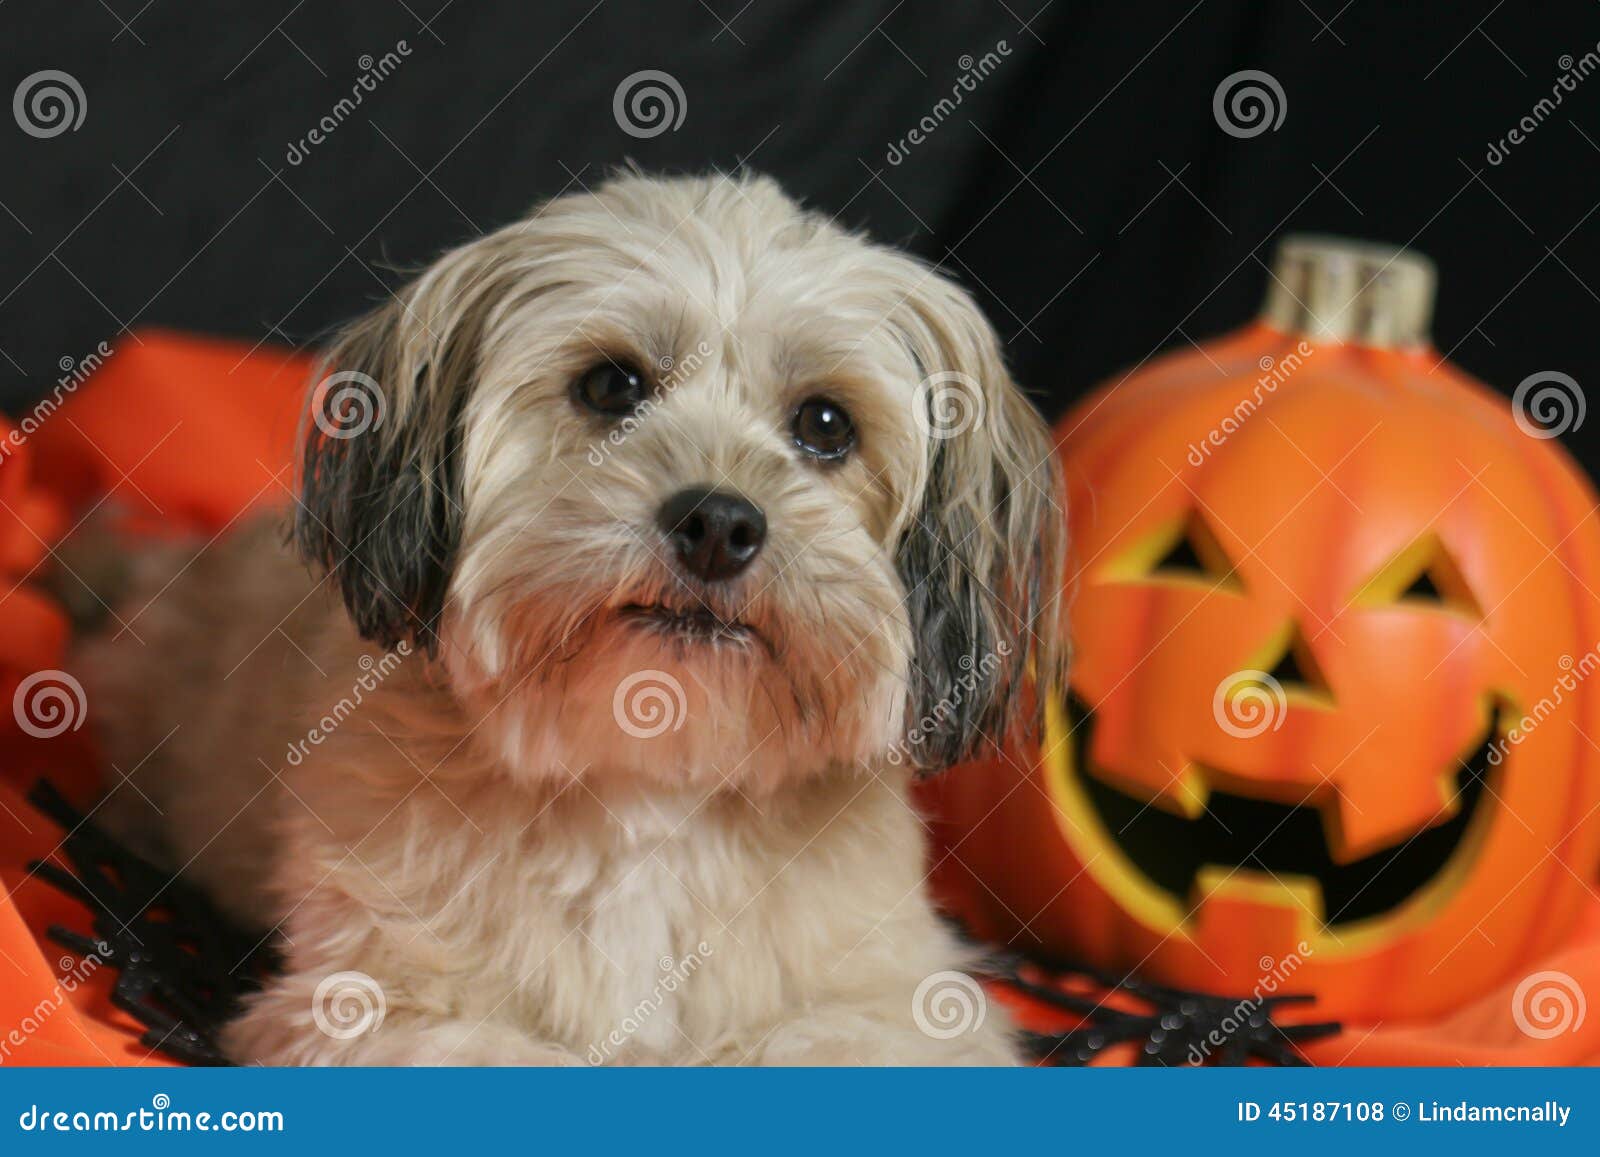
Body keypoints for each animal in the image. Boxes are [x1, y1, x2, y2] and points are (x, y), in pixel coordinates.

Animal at [81, 172, 1068, 1068]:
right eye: (609, 384)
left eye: (826, 424)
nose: (719, 524)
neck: (649, 784)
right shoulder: (370, 1007)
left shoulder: (906, 1010)